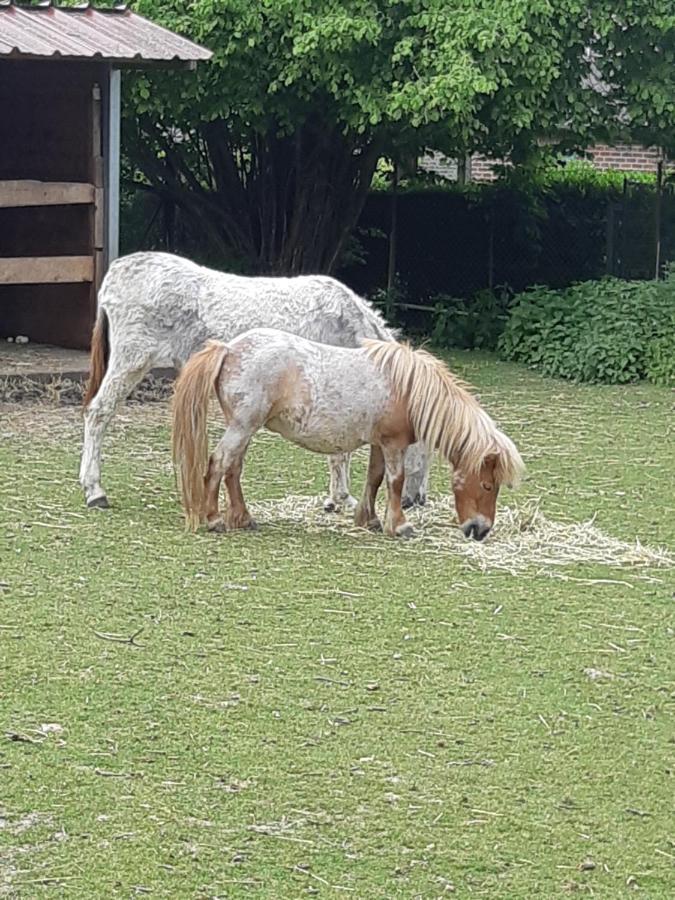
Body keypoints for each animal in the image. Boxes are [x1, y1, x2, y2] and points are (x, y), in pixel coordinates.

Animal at [79, 250, 428, 512]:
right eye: (423, 445)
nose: (416, 500)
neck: (346, 324)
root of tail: (118, 271)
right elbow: (340, 449)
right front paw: (341, 498)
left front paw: (333, 500)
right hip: (132, 359)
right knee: (98, 412)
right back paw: (95, 490)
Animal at [172, 330, 524, 540]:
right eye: (488, 485)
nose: (480, 530)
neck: (408, 389)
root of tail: (229, 348)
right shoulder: (393, 444)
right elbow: (395, 482)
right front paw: (400, 525)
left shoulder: (380, 444)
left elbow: (375, 478)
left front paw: (369, 519)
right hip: (242, 426)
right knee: (219, 464)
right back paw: (214, 519)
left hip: (244, 428)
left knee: (233, 469)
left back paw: (243, 518)